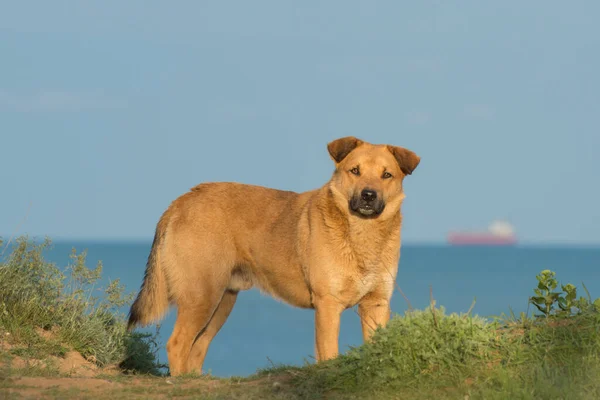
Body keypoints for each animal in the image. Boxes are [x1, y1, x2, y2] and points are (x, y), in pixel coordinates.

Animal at [127, 137, 418, 376]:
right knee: (177, 344)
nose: (369, 195)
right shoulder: (328, 305)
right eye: (354, 170)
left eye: (387, 175)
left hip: (221, 303)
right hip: (203, 297)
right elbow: (328, 356)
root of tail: (180, 202)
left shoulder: (376, 304)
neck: (361, 234)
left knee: (196, 348)